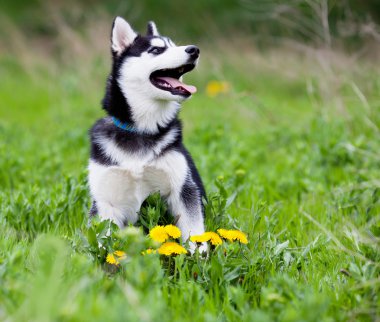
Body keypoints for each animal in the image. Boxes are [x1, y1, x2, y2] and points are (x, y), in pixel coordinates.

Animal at [87, 16, 206, 250]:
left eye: (173, 45)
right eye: (156, 50)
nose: (194, 49)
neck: (142, 129)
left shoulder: (183, 189)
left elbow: (195, 234)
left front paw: (199, 258)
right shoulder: (106, 200)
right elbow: (105, 240)